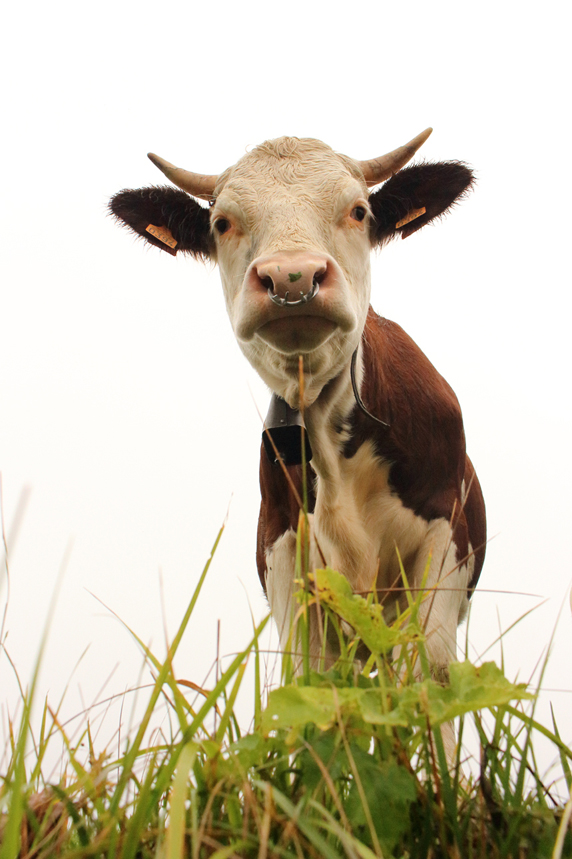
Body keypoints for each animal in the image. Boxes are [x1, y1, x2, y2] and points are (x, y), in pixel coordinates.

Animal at [110, 133, 488, 712]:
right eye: (222, 222)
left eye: (359, 211)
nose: (292, 277)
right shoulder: (286, 564)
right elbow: (310, 685)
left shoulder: (446, 542)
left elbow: (429, 680)